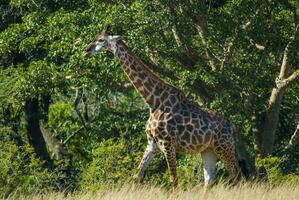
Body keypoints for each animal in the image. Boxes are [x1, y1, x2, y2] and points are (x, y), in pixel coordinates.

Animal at [82, 25, 248, 188]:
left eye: (101, 39)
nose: (85, 50)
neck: (152, 101)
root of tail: (232, 127)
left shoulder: (167, 143)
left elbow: (173, 180)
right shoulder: (152, 144)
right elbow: (137, 177)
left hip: (224, 148)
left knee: (238, 177)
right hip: (208, 150)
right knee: (210, 180)